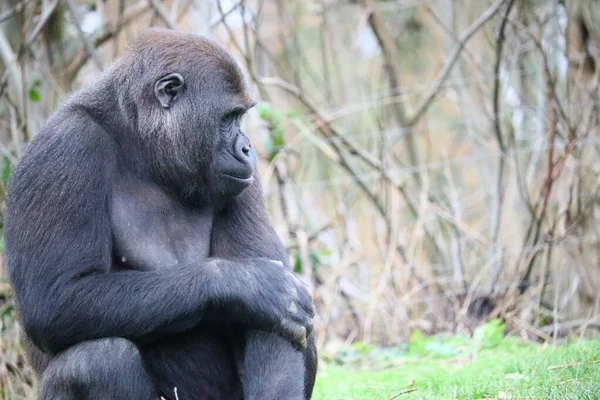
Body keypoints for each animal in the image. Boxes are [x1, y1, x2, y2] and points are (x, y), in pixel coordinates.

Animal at [4, 28, 318, 400]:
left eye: (240, 117)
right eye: (229, 117)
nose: (247, 148)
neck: (142, 138)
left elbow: (274, 324)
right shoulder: (65, 149)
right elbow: (54, 298)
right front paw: (251, 284)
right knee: (98, 360)